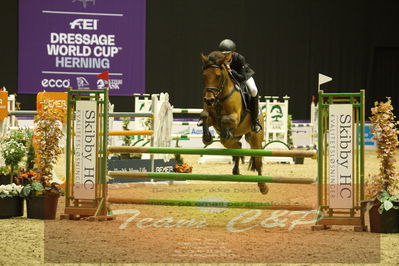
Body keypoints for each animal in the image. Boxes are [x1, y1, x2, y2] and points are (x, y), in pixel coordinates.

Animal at [200, 51, 268, 194]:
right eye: (204, 75)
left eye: (218, 76)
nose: (208, 100)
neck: (219, 96)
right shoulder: (211, 117)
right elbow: (204, 115)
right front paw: (207, 138)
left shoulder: (235, 118)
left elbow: (226, 119)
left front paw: (224, 132)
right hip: (239, 136)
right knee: (237, 145)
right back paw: (236, 170)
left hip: (255, 138)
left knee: (257, 159)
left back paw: (263, 186)